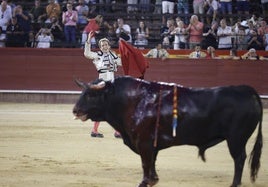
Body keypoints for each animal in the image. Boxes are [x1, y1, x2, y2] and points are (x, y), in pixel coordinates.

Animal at [72, 76, 262, 187]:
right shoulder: (152, 144)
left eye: (90, 95)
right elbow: (152, 162)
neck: (132, 100)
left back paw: (234, 184)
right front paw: (153, 180)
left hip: (236, 139)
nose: (75, 110)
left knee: (239, 159)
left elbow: (145, 163)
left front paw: (144, 182)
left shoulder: (144, 142)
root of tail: (247, 90)